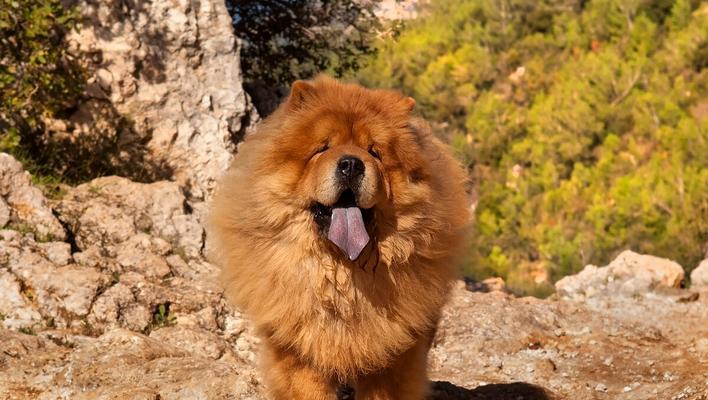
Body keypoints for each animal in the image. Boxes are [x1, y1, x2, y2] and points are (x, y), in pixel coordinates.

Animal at [209, 76, 470, 398]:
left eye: (374, 152)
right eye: (323, 148)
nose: (351, 164)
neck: (342, 276)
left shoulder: (393, 356)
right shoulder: (298, 349)